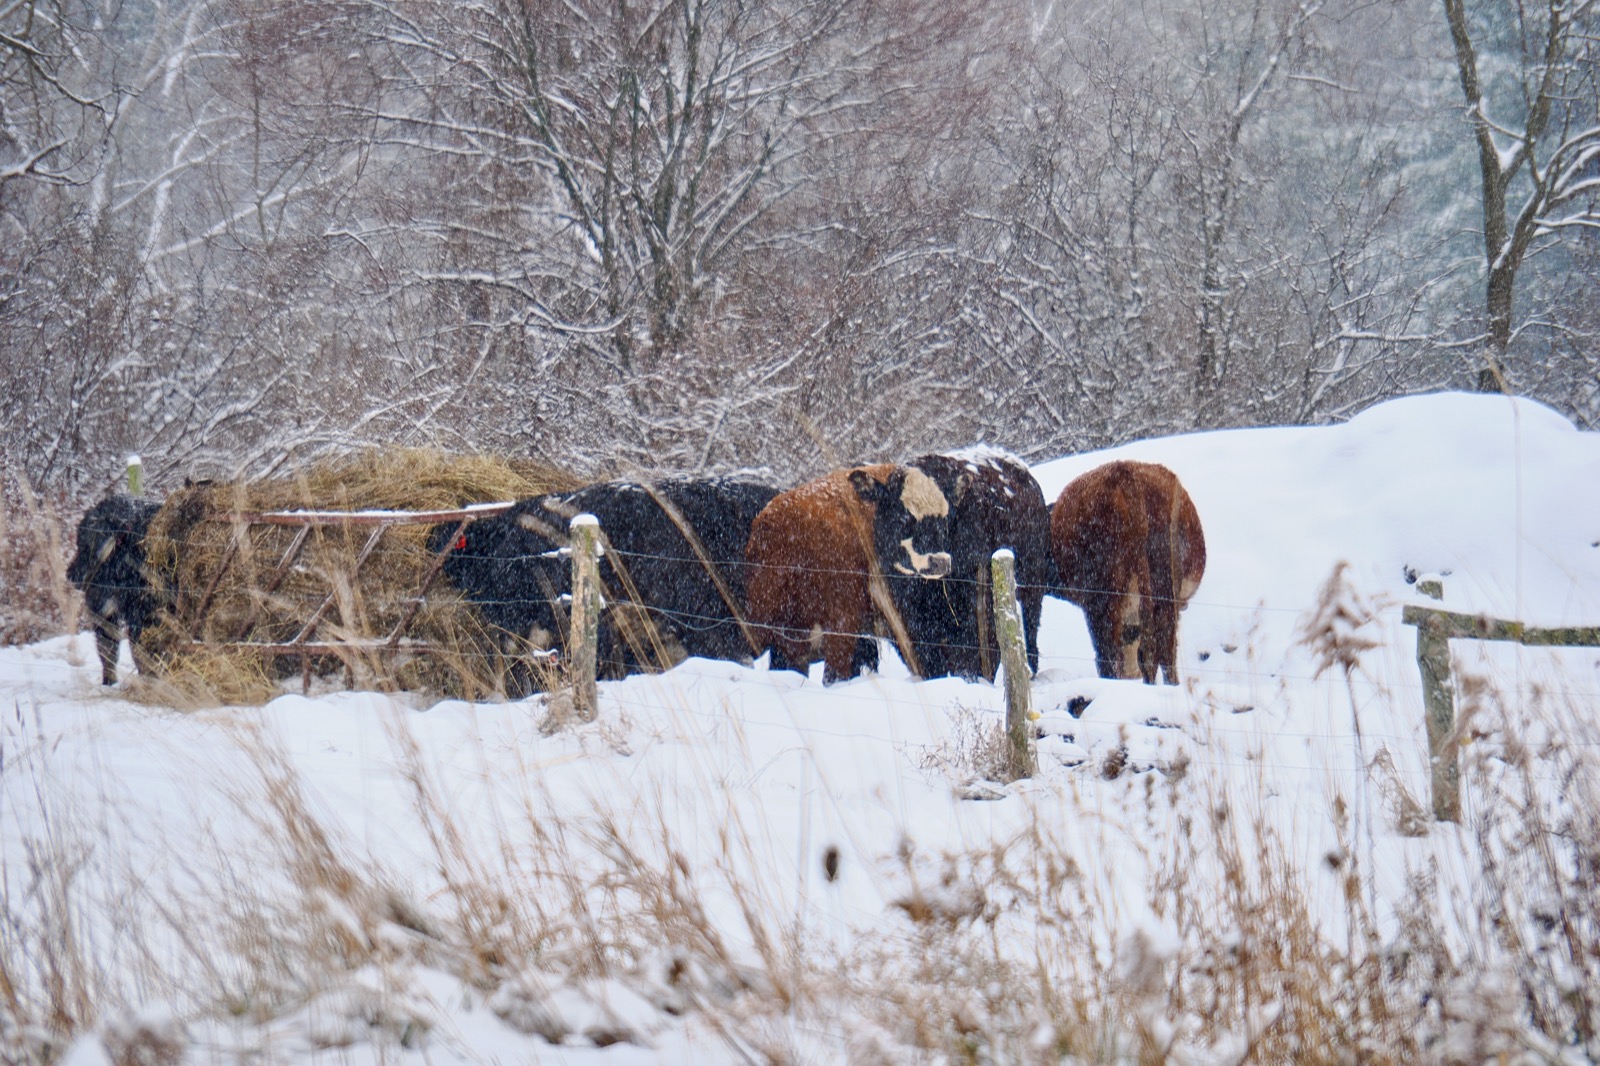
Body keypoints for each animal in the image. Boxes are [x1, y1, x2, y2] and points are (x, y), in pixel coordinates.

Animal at [897, 450, 1054, 681]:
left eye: (944, 514)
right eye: (904, 516)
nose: (935, 560)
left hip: (1032, 578)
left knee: (1030, 621)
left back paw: (1030, 668)